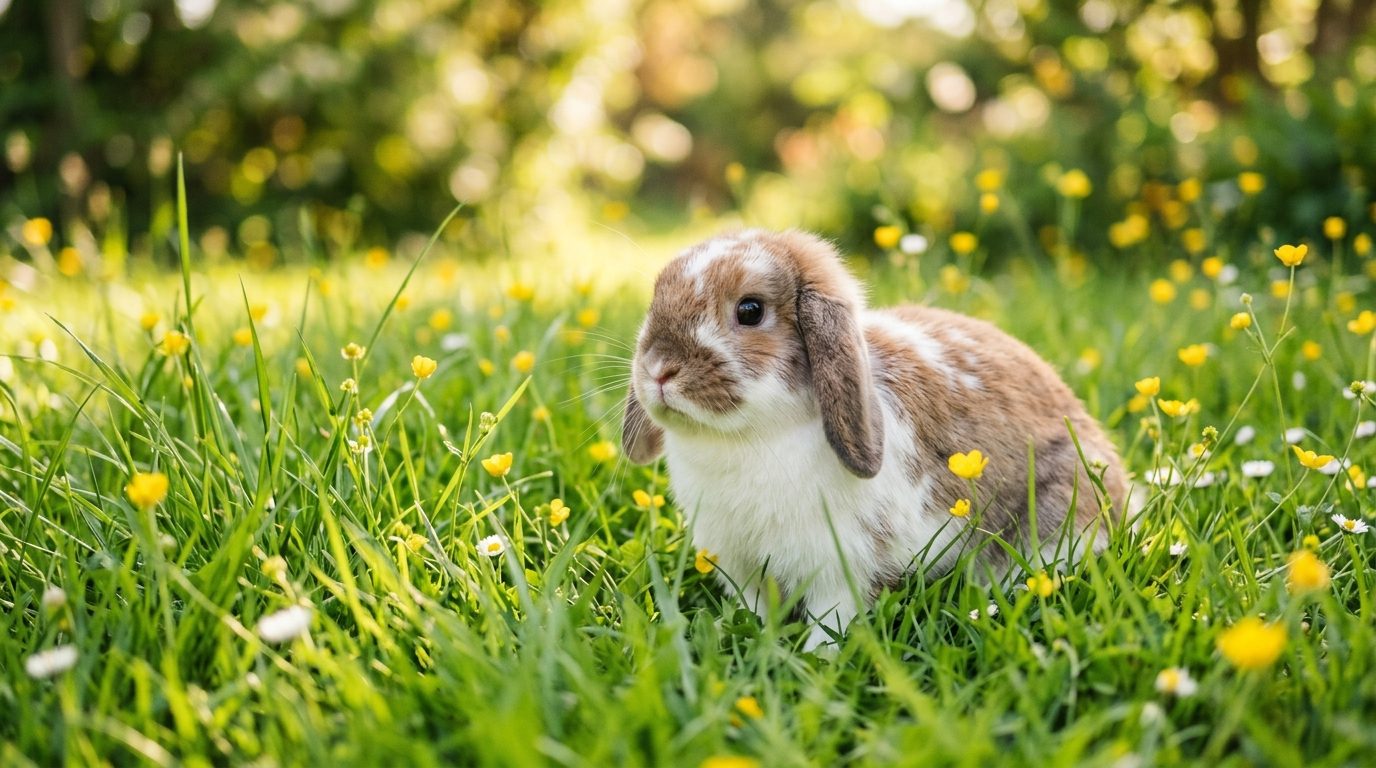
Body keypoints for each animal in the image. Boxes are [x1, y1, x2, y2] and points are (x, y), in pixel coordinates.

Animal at [621, 229, 1128, 649]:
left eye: (750, 310)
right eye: (657, 297)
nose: (659, 369)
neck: (748, 437)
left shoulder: (842, 568)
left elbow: (831, 621)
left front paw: (815, 663)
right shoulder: (739, 565)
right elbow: (756, 609)